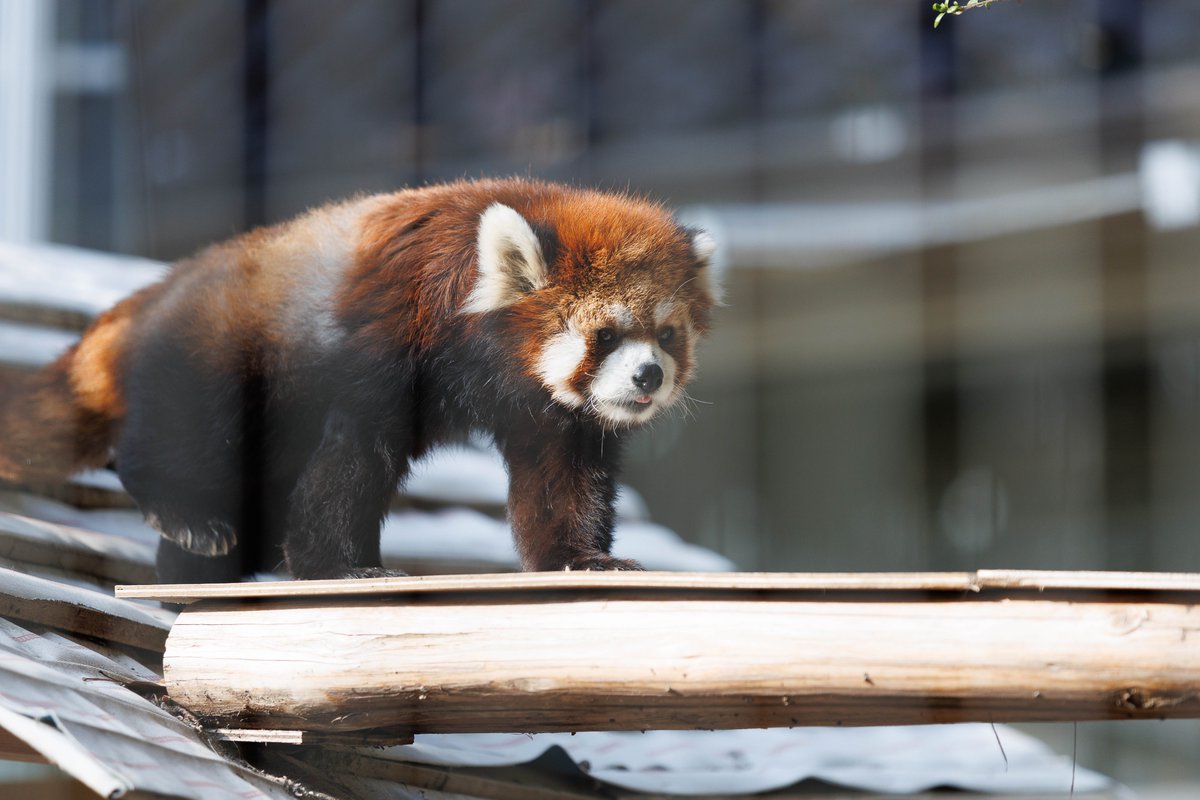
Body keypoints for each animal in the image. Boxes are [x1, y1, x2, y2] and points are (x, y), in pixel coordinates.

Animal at [0, 179, 715, 582]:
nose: (649, 374)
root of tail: (151, 295)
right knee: (186, 436)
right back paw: (187, 517)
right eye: (607, 336)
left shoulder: (550, 412)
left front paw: (581, 560)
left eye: (666, 336)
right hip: (218, 354)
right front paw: (341, 566)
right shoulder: (387, 341)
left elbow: (563, 480)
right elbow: (355, 455)